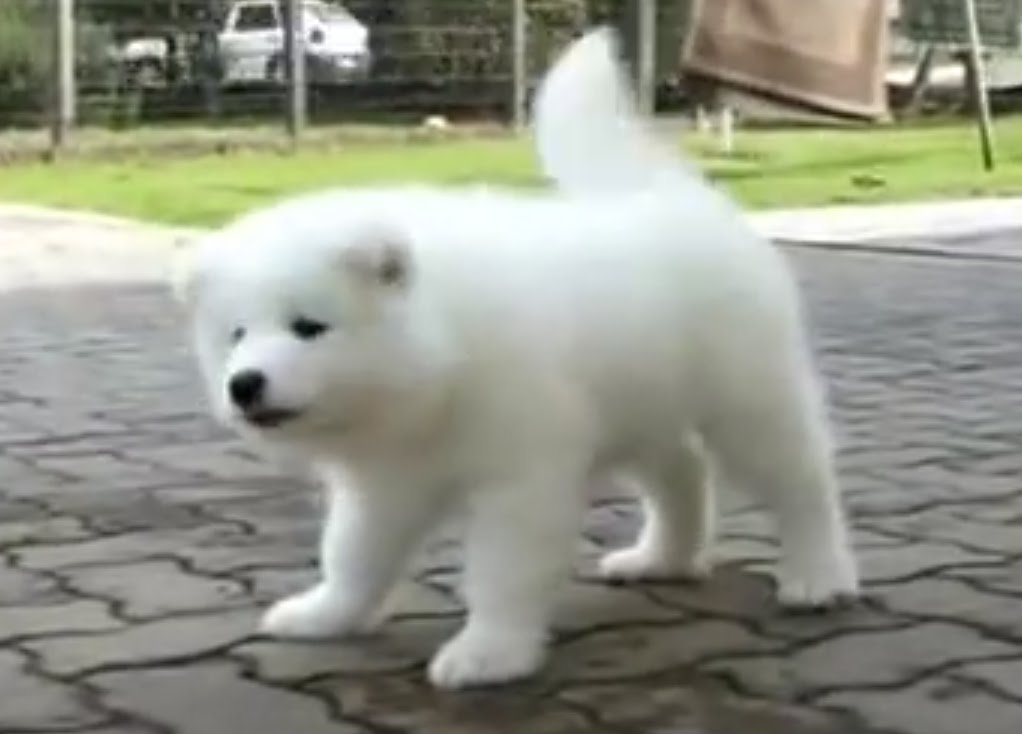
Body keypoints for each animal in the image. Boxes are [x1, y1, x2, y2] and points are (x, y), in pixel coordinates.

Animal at [171, 28, 858, 691]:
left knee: (800, 481)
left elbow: (503, 569)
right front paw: (326, 614)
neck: (440, 362)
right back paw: (663, 558)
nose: (245, 385)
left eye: (309, 327)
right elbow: (353, 554)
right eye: (236, 335)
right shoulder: (387, 482)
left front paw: (488, 654)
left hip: (747, 397)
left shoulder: (520, 476)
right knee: (682, 472)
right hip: (640, 406)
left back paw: (818, 575)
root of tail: (675, 195)